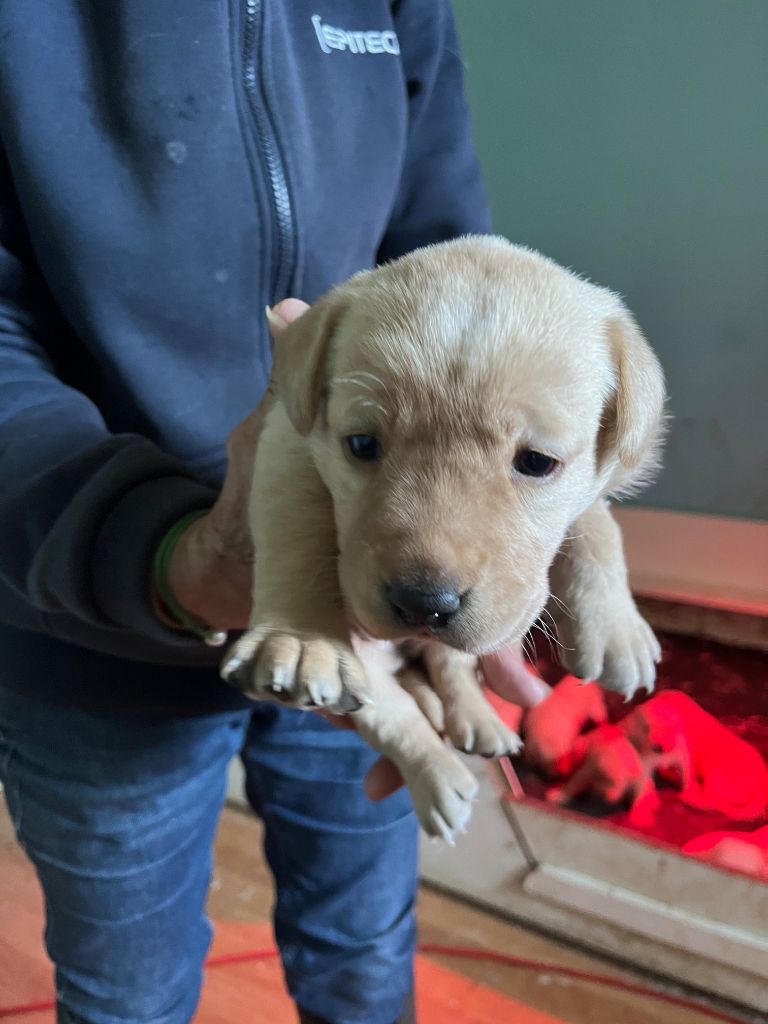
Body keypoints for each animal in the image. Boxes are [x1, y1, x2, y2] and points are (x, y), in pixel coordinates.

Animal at [222, 237, 667, 839]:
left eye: (537, 462)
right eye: (362, 444)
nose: (423, 604)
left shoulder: (591, 480)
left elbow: (598, 523)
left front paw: (617, 627)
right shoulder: (288, 438)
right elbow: (295, 523)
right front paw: (299, 638)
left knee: (448, 669)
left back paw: (479, 722)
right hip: (368, 675)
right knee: (396, 715)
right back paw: (440, 779)